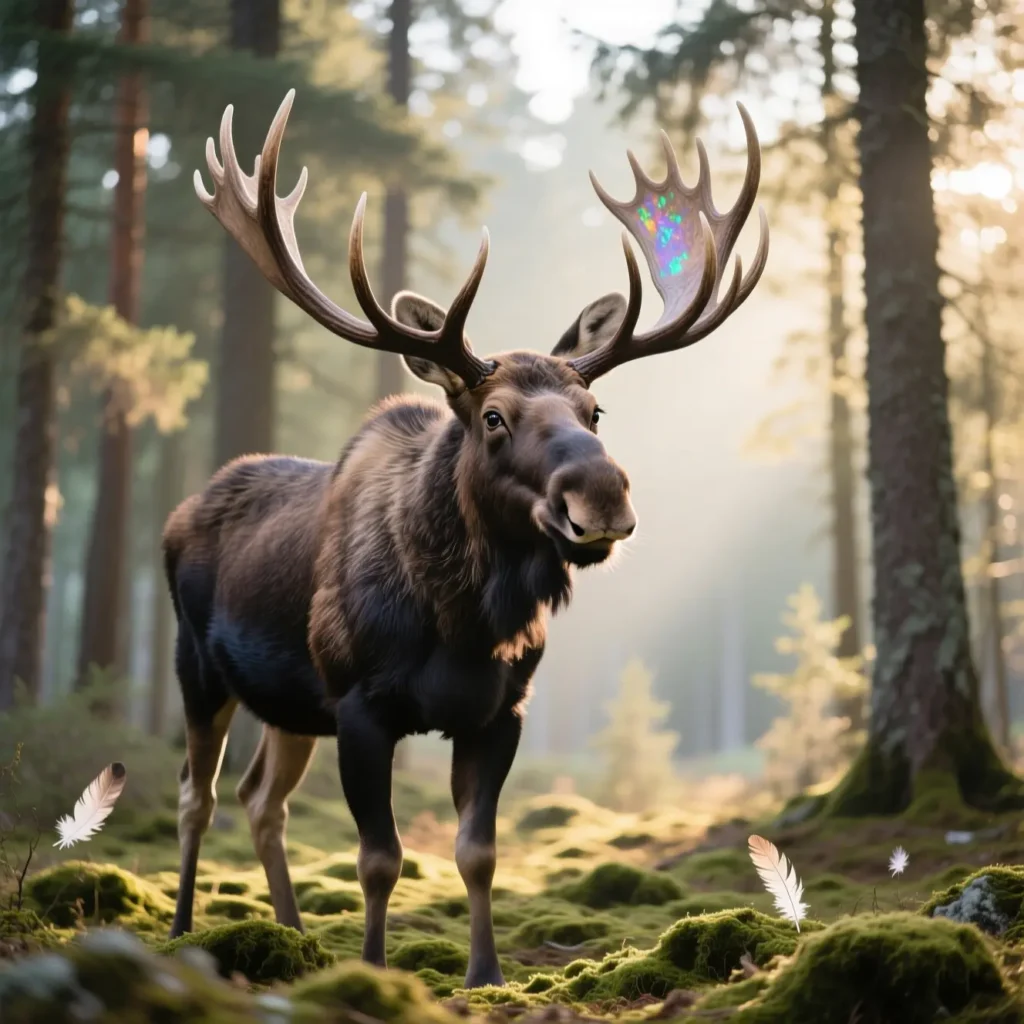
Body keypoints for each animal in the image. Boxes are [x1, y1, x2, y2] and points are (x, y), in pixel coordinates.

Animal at [164, 89, 768, 989]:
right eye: (493, 417)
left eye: (595, 411)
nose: (604, 497)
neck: (461, 620)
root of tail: (180, 512)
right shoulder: (360, 703)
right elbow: (379, 858)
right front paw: (374, 970)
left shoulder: (499, 710)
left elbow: (477, 851)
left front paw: (486, 973)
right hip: (198, 668)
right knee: (195, 797)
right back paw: (179, 930)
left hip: (289, 705)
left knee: (261, 801)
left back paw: (295, 936)